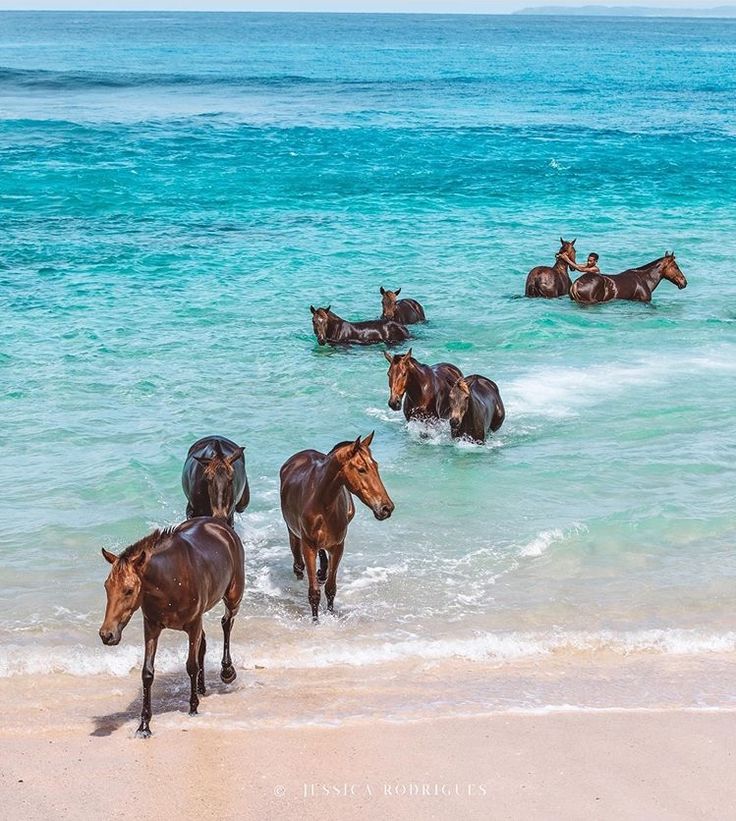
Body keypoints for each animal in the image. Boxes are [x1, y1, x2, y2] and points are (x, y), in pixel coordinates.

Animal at [98, 520, 244, 736]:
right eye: (107, 586)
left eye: (129, 590)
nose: (107, 635)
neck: (170, 580)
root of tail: (219, 524)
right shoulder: (151, 627)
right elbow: (147, 673)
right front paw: (144, 726)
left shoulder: (193, 625)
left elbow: (191, 666)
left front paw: (193, 708)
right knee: (204, 642)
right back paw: (201, 687)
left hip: (233, 596)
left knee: (227, 623)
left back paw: (227, 672)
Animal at [278, 432, 394, 620]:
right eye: (361, 469)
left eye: (376, 466)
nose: (386, 508)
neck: (322, 503)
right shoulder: (308, 546)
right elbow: (314, 592)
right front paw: (315, 621)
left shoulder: (338, 546)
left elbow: (331, 588)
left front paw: (331, 615)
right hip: (293, 531)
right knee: (298, 561)